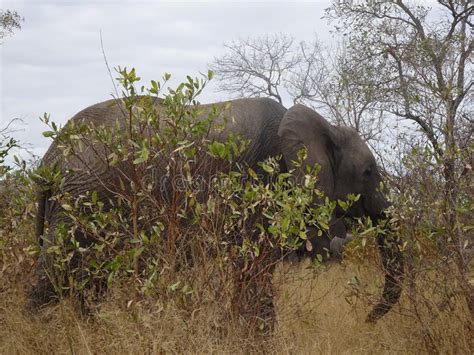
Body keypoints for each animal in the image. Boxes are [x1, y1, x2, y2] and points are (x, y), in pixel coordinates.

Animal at [29, 96, 402, 326]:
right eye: (368, 172)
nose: (366, 320)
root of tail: (49, 159)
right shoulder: (255, 183)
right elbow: (254, 273)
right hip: (80, 198)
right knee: (54, 274)